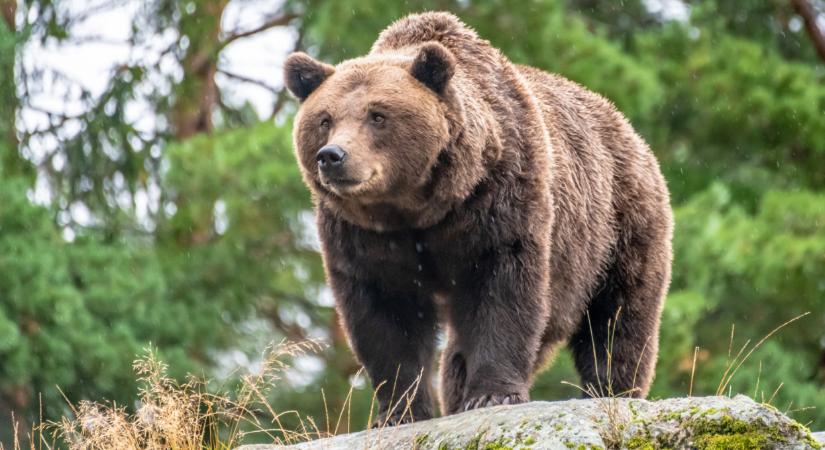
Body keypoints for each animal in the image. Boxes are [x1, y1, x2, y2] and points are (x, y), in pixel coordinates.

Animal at [282, 11, 668, 426]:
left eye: (377, 115)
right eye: (325, 119)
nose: (332, 156)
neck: (418, 208)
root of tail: (623, 123)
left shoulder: (500, 200)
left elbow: (503, 290)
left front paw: (492, 395)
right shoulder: (362, 236)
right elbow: (384, 315)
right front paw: (399, 411)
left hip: (616, 225)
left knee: (618, 316)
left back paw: (612, 390)